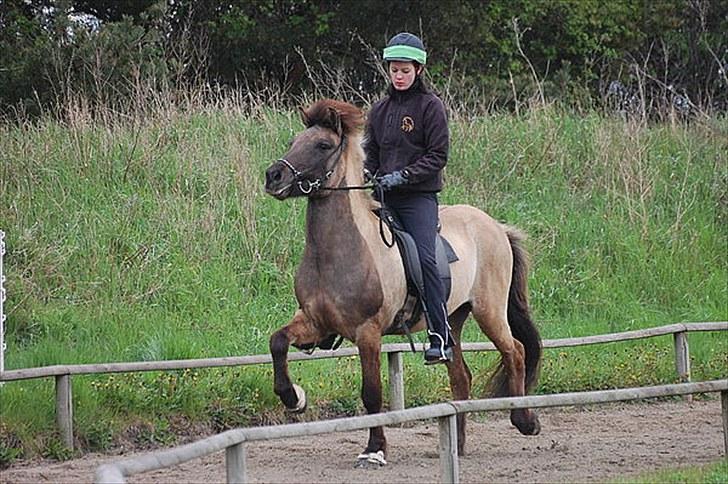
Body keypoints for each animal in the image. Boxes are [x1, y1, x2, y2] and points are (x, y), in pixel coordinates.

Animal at [264, 98, 540, 466]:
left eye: (322, 145)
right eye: (293, 142)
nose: (273, 176)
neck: (337, 251)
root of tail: (495, 225)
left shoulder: (368, 332)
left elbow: (371, 393)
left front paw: (375, 449)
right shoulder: (314, 322)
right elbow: (278, 342)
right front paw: (294, 397)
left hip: (490, 312)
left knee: (516, 352)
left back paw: (524, 420)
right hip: (452, 319)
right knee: (461, 376)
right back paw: (457, 444)